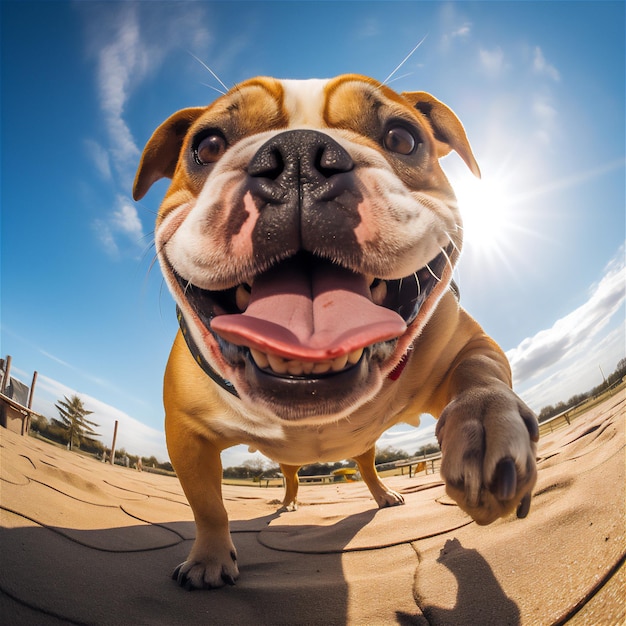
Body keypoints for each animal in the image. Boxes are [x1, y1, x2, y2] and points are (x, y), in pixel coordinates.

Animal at [132, 73, 536, 584]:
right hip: (285, 463)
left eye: (403, 138)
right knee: (290, 478)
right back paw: (286, 504)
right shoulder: (187, 435)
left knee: (367, 467)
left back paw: (385, 495)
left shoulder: (466, 344)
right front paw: (208, 559)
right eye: (206, 146)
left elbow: (481, 376)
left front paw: (485, 428)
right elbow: (207, 505)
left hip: (364, 446)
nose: (299, 156)